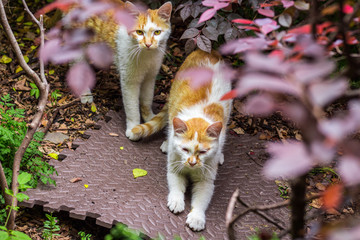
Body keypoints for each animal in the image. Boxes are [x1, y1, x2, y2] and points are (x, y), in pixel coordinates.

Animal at [80, 0, 173, 139]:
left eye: (157, 32)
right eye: (139, 32)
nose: (148, 44)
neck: (146, 56)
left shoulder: (150, 77)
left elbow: (147, 100)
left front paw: (150, 118)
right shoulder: (129, 82)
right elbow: (132, 107)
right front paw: (134, 127)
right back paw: (85, 93)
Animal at [129, 50, 233, 231]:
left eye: (203, 152)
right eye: (185, 149)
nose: (192, 162)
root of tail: (208, 52)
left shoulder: (206, 180)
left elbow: (201, 201)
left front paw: (197, 217)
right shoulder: (174, 169)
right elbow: (176, 187)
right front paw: (176, 201)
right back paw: (166, 143)